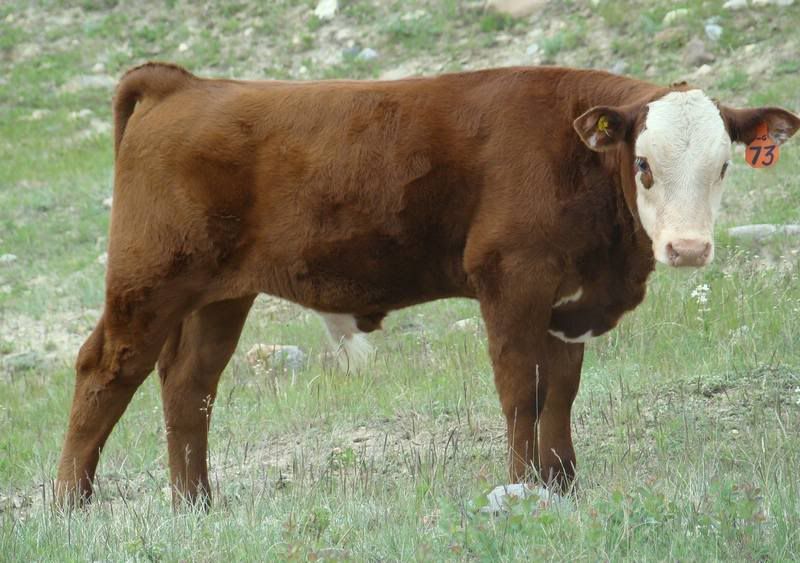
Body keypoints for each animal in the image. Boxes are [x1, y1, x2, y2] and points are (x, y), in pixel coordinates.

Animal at [55, 62, 800, 508]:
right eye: (643, 164)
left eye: (724, 165)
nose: (688, 248)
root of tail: (182, 82)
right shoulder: (512, 281)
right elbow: (520, 392)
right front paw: (521, 487)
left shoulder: (569, 302)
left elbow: (559, 392)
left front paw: (562, 484)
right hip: (148, 278)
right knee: (106, 369)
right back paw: (71, 505)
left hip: (218, 296)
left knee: (189, 385)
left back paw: (197, 504)